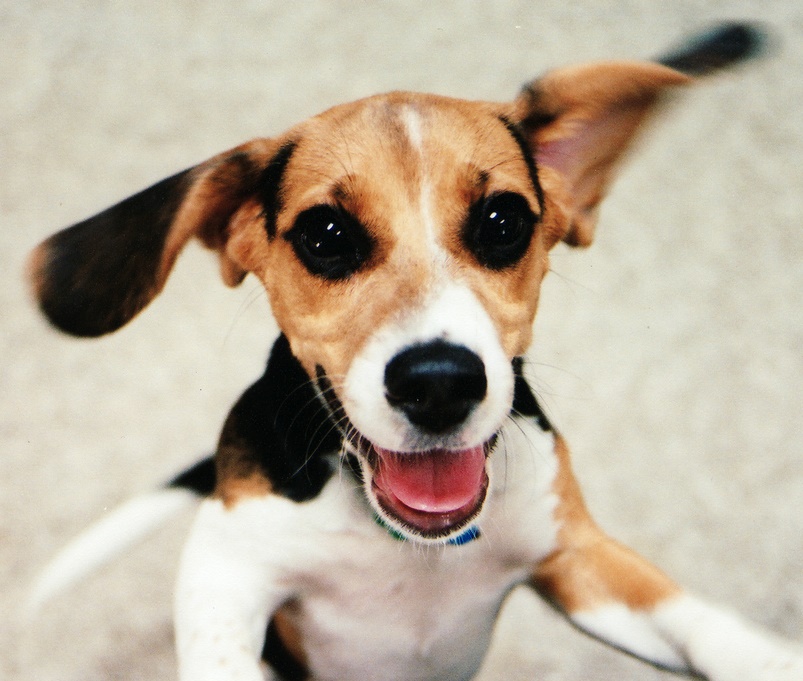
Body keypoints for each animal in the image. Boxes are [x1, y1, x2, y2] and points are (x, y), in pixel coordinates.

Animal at [28, 22, 803, 680]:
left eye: (503, 221)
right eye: (326, 235)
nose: (439, 382)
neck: (400, 542)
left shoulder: (577, 554)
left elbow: (705, 624)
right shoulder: (226, 566)